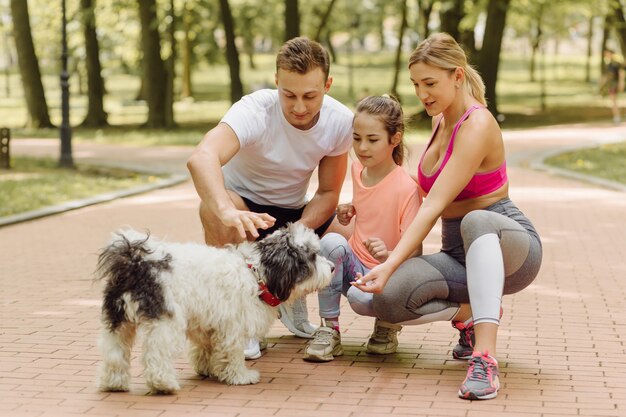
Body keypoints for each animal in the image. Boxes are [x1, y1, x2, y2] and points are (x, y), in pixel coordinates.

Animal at [94, 223, 332, 392]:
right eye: (312, 256)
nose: (332, 267)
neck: (256, 274)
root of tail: (136, 264)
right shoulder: (233, 326)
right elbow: (233, 354)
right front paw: (240, 376)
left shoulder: (208, 322)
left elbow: (205, 348)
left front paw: (207, 369)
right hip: (165, 322)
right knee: (156, 354)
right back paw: (164, 384)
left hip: (118, 321)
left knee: (115, 351)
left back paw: (114, 383)